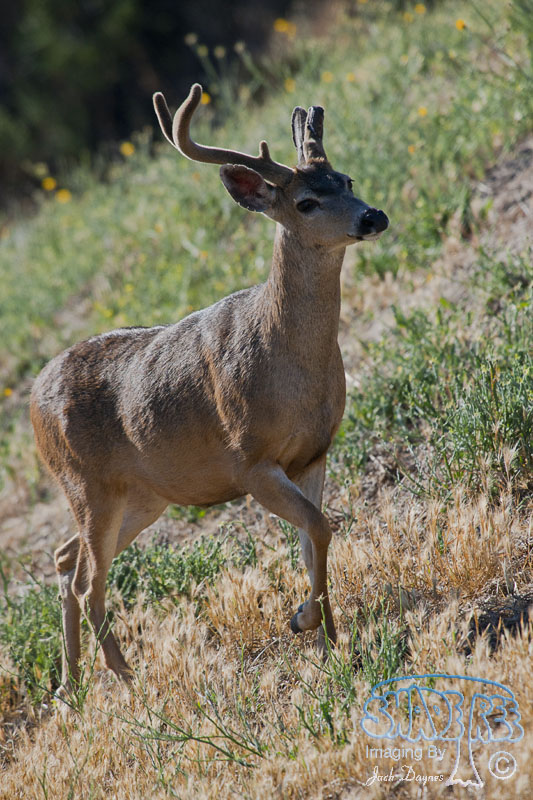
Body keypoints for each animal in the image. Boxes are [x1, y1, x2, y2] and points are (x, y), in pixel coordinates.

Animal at [30, 83, 388, 694]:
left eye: (347, 180)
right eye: (305, 203)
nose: (374, 215)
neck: (289, 362)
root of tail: (31, 398)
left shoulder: (314, 452)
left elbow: (313, 538)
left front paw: (327, 637)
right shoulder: (250, 461)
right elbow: (320, 526)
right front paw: (306, 621)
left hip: (142, 495)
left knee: (63, 556)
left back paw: (70, 686)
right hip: (86, 483)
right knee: (86, 578)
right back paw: (127, 679)